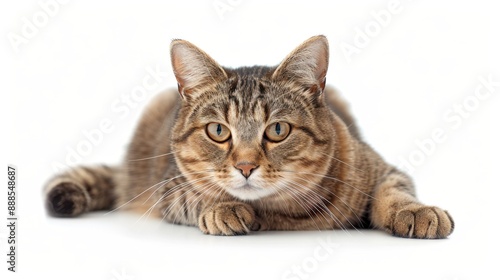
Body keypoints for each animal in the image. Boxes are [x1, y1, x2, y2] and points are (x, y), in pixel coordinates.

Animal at [45, 35, 456, 238]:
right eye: (217, 131)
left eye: (277, 130)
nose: (245, 166)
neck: (288, 215)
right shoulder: (169, 188)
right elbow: (199, 196)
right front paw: (224, 209)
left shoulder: (381, 168)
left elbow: (395, 191)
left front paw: (415, 211)